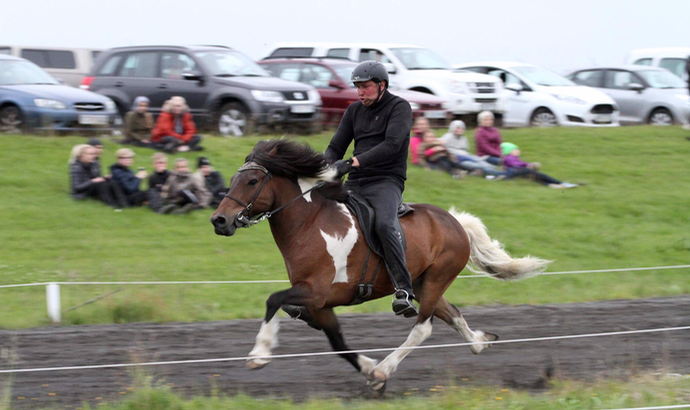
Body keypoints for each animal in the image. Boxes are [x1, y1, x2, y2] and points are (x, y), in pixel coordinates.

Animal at [210, 139, 548, 392]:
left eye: (252, 180)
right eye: (233, 180)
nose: (219, 220)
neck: (309, 224)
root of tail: (455, 221)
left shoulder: (315, 292)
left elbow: (273, 300)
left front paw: (259, 354)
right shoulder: (321, 304)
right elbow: (337, 341)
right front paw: (367, 367)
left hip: (436, 280)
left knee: (422, 328)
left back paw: (386, 369)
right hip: (423, 284)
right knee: (452, 313)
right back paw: (480, 343)